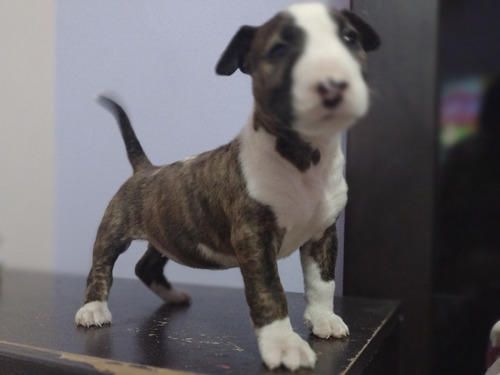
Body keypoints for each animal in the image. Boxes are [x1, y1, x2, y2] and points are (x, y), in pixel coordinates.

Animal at [75, 2, 378, 372]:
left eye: (350, 39)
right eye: (279, 49)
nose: (333, 83)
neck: (303, 156)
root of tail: (146, 168)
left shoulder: (323, 233)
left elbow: (323, 281)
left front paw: (324, 319)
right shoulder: (253, 237)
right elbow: (269, 290)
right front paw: (283, 345)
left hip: (169, 233)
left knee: (145, 265)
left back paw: (172, 295)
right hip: (114, 229)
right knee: (102, 265)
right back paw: (93, 309)